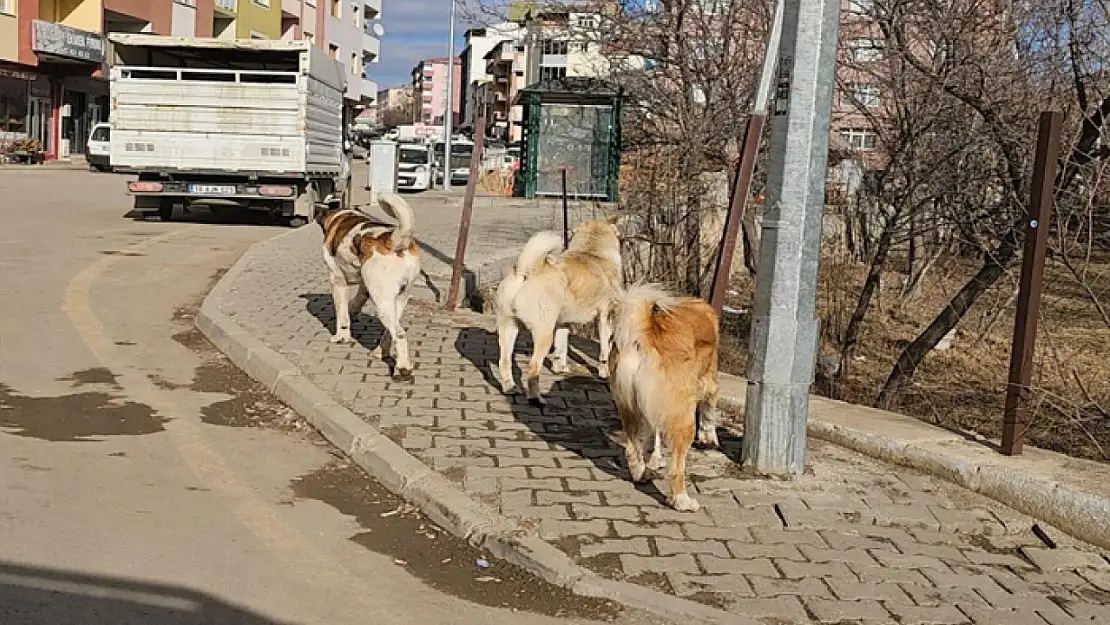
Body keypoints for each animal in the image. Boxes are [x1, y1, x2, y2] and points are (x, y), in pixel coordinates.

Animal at [321, 194, 424, 381]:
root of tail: (394, 240)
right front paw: (352, 312)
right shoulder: (364, 285)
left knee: (399, 334)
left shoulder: (337, 280)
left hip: (382, 302)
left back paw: (403, 369)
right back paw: (379, 353)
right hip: (398, 299)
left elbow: (342, 315)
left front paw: (341, 337)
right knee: (390, 332)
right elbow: (355, 302)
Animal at [497, 219, 626, 406]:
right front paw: (604, 373)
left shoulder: (562, 323)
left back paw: (510, 387)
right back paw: (536, 398)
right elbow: (604, 350)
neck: (592, 252)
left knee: (504, 361)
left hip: (508, 327)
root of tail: (527, 269)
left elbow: (562, 346)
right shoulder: (604, 319)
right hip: (543, 334)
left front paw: (560, 368)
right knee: (533, 367)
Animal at [608, 286, 719, 510]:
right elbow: (710, 406)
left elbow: (654, 432)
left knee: (632, 447)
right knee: (676, 469)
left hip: (628, 407)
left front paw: (653, 457)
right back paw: (682, 501)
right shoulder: (708, 380)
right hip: (683, 418)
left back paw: (641, 472)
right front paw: (709, 435)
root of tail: (645, 334)